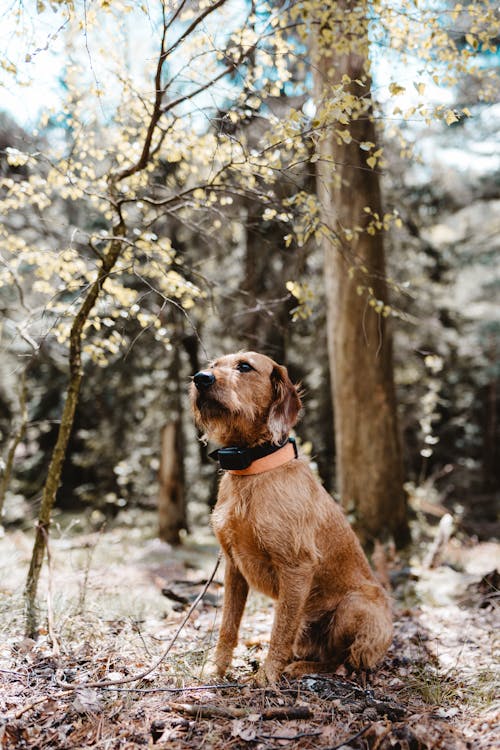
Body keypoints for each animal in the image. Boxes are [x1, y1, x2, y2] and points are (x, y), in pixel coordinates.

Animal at [191, 352, 394, 688]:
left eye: (244, 366)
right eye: (213, 365)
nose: (200, 378)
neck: (254, 470)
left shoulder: (296, 566)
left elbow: (281, 629)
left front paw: (267, 675)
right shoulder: (233, 566)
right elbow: (228, 625)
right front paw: (216, 669)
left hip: (354, 607)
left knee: (341, 661)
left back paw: (298, 668)